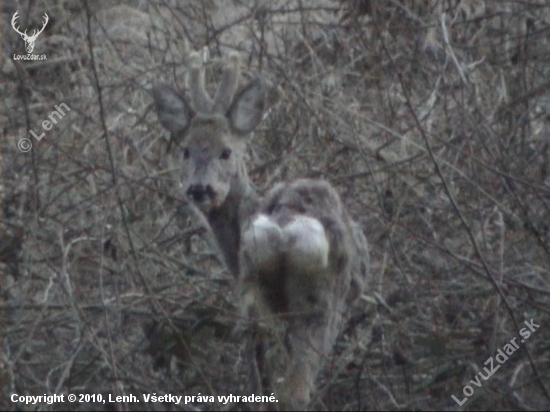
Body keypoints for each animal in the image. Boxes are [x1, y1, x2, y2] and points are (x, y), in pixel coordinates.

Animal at [152, 50, 370, 410]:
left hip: (257, 290)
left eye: (226, 151)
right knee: (295, 386)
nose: (200, 188)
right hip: (320, 302)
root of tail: (284, 232)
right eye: (186, 150)